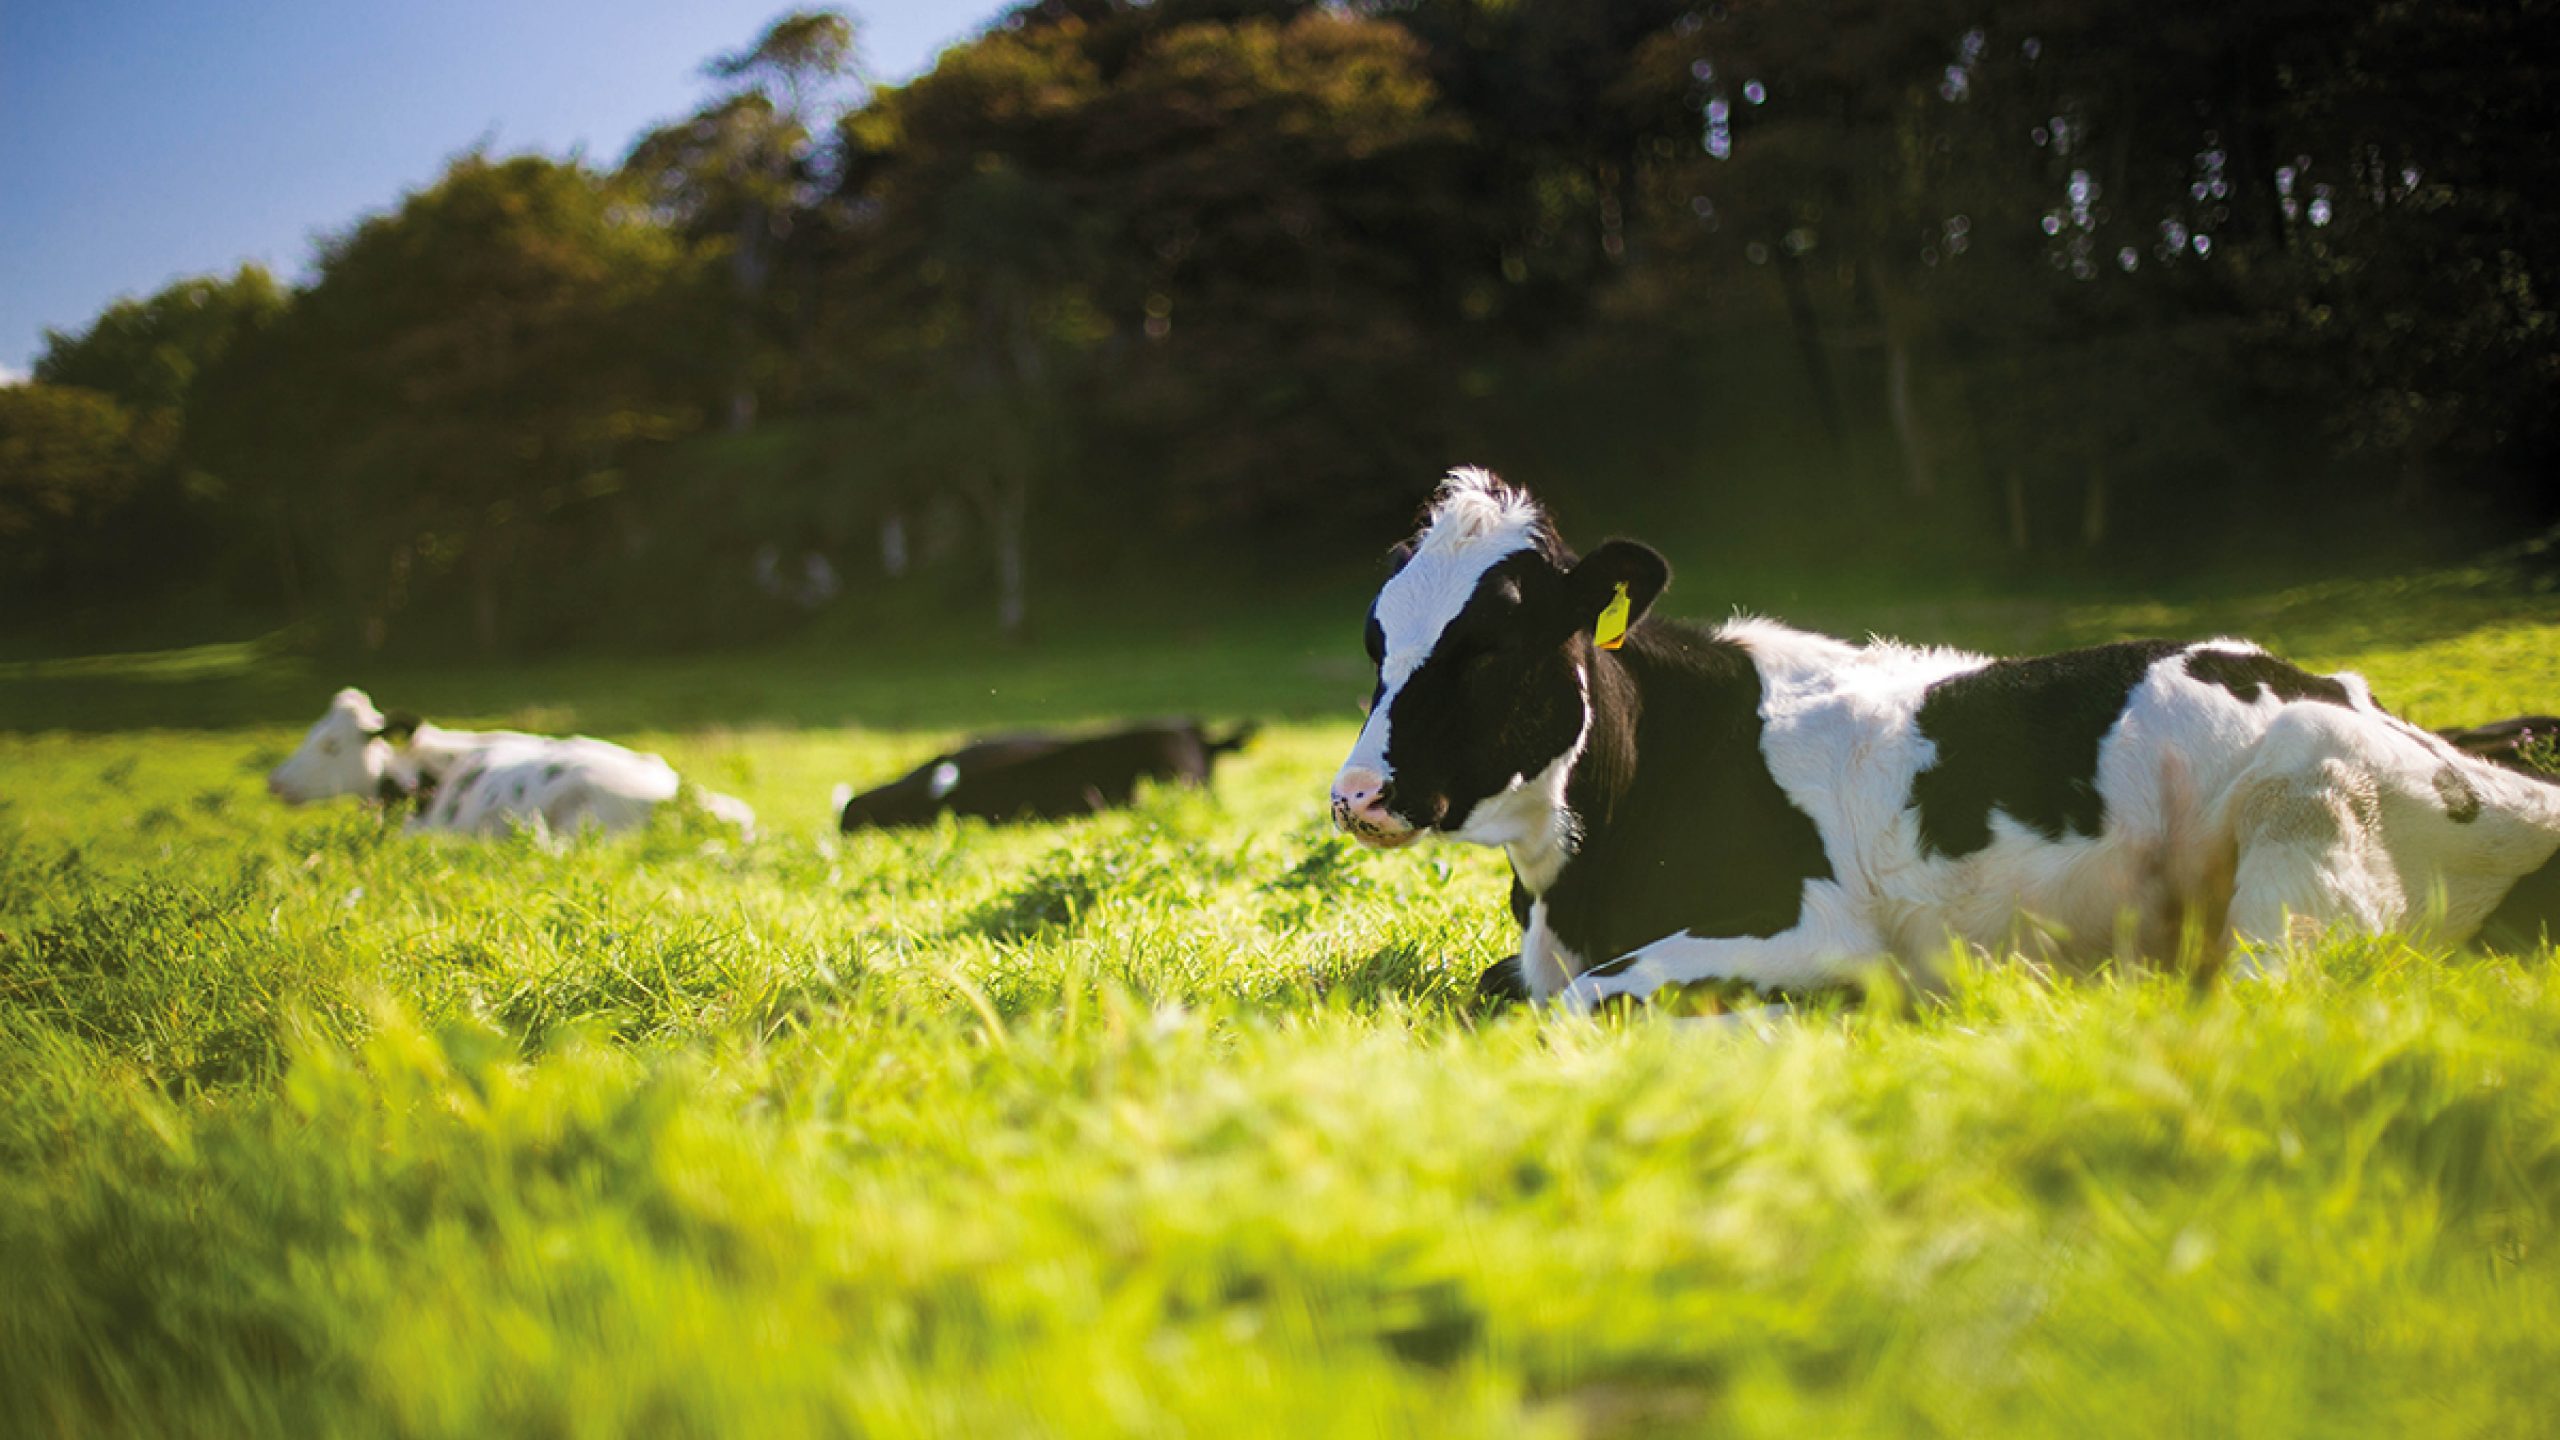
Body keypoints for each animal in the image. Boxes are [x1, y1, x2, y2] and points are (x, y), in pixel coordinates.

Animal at [1331, 471, 2560, 1009]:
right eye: (1376, 635)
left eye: (1491, 645)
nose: (1355, 794)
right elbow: (1508, 988)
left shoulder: (1811, 925)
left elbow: (1587, 999)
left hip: (2302, 843)